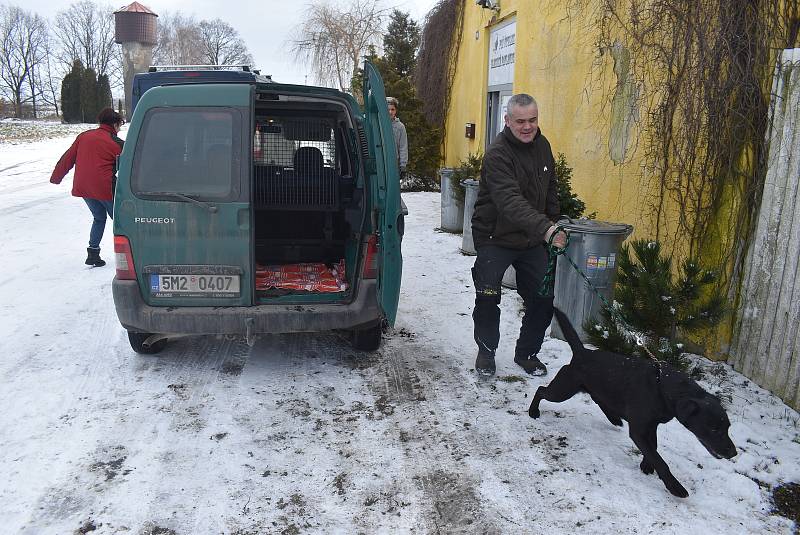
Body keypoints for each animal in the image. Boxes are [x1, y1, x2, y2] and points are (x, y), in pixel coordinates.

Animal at [532, 308, 736, 500]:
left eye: (727, 428)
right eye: (714, 429)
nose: (733, 453)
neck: (663, 386)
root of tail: (582, 352)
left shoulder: (651, 426)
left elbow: (653, 447)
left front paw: (646, 464)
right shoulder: (638, 430)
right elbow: (659, 459)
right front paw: (674, 486)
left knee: (598, 398)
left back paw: (614, 418)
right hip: (562, 390)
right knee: (541, 390)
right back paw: (533, 412)